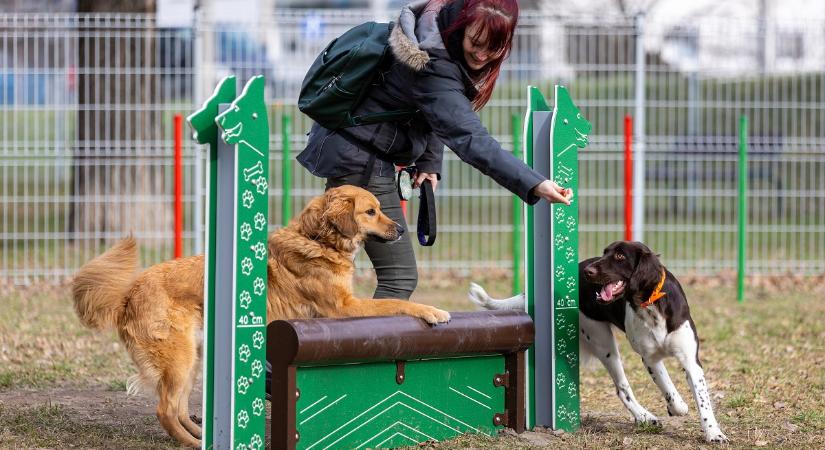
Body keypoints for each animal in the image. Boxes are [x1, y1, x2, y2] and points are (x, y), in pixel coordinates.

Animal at [72, 185, 450, 446]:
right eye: (371, 211)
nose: (401, 230)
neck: (318, 240)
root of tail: (128, 294)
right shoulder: (344, 307)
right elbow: (396, 304)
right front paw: (433, 311)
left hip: (191, 359)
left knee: (177, 408)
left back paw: (201, 435)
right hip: (179, 360)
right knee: (165, 410)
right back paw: (192, 443)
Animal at [470, 243, 728, 442]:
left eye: (620, 256)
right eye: (604, 252)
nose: (588, 272)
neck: (651, 304)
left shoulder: (690, 359)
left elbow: (702, 401)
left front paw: (713, 433)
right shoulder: (650, 358)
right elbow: (669, 390)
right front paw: (678, 408)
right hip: (604, 343)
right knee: (622, 387)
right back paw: (644, 417)